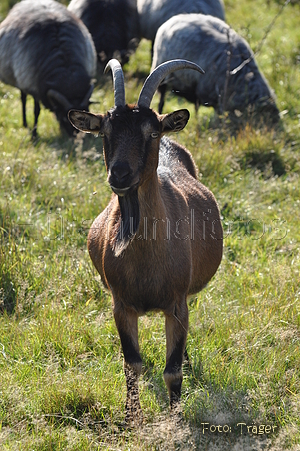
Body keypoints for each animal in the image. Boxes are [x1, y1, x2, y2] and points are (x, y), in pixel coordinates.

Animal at [0, 0, 96, 138]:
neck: (67, 74)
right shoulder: (33, 87)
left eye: (86, 110)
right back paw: (25, 123)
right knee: (23, 99)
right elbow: (36, 111)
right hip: (21, 81)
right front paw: (34, 135)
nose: (78, 137)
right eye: (64, 116)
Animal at [68, 59, 223, 424]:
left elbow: (172, 370)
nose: (120, 174)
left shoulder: (177, 305)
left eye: (151, 132)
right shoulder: (121, 306)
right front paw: (131, 418)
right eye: (105, 132)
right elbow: (132, 365)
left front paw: (176, 420)